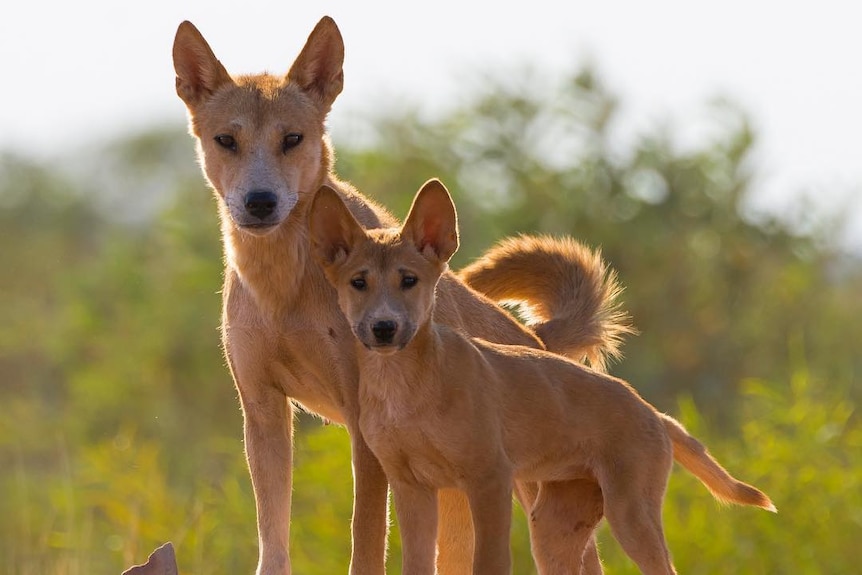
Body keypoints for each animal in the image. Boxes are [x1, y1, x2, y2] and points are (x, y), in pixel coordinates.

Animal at [174, 15, 636, 572]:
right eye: (226, 140)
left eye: (292, 138)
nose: (260, 202)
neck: (283, 288)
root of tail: (536, 339)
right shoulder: (263, 411)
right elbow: (274, 542)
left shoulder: (362, 427)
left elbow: (366, 541)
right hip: (457, 500)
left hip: (531, 496)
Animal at [308, 181, 776, 575]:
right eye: (359, 282)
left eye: (409, 280)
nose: (383, 328)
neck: (406, 390)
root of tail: (653, 413)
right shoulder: (411, 488)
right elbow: (418, 565)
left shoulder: (488, 479)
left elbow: (490, 564)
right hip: (555, 528)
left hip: (630, 515)